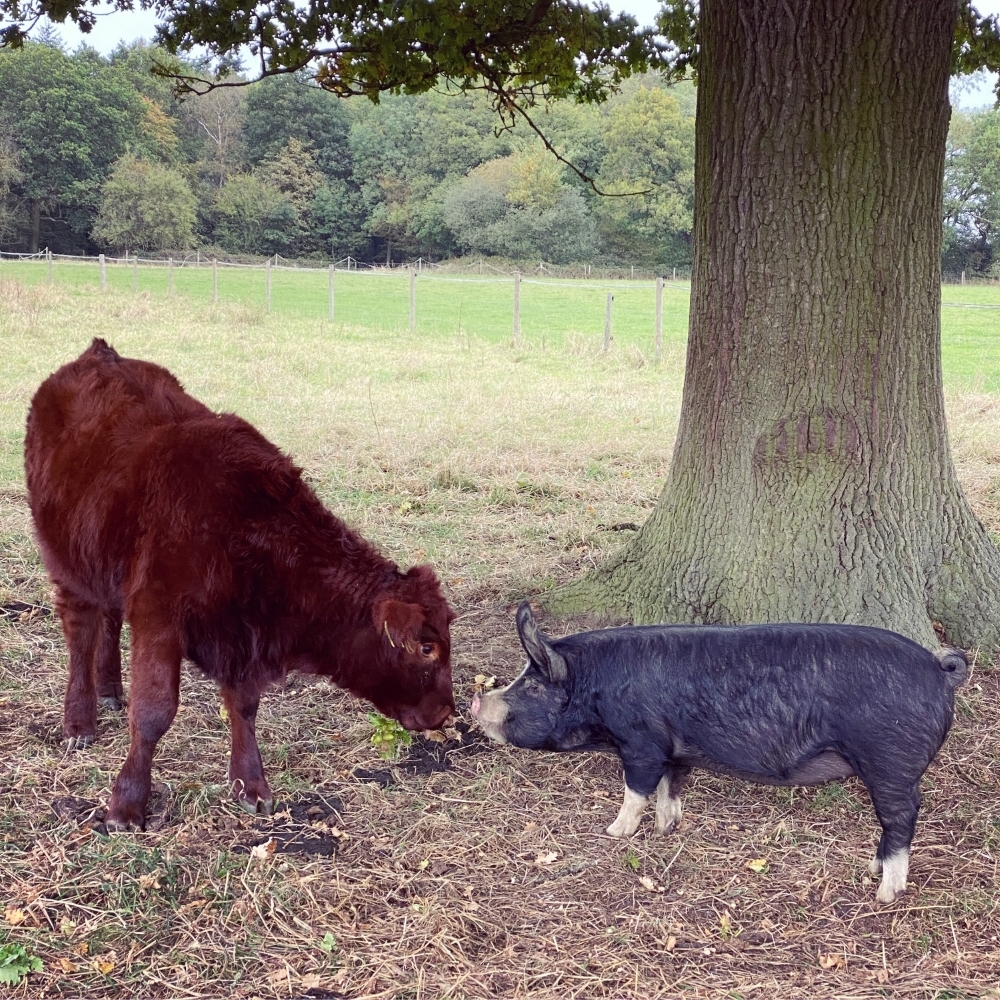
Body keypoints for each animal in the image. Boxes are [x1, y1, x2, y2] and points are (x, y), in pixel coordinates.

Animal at [24, 340, 454, 832]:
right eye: (426, 648)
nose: (445, 712)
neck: (243, 528)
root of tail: (99, 353)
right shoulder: (159, 616)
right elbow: (154, 712)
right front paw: (127, 804)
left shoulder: (241, 637)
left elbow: (244, 707)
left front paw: (251, 785)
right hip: (66, 562)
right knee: (81, 632)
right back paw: (80, 722)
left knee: (109, 620)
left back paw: (111, 689)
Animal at [472, 600, 964, 908]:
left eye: (532, 686)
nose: (477, 702)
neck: (597, 688)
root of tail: (938, 669)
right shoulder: (673, 749)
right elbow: (671, 786)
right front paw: (667, 828)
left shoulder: (641, 743)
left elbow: (636, 789)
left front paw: (613, 833)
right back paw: (870, 868)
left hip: (890, 762)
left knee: (902, 818)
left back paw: (884, 892)